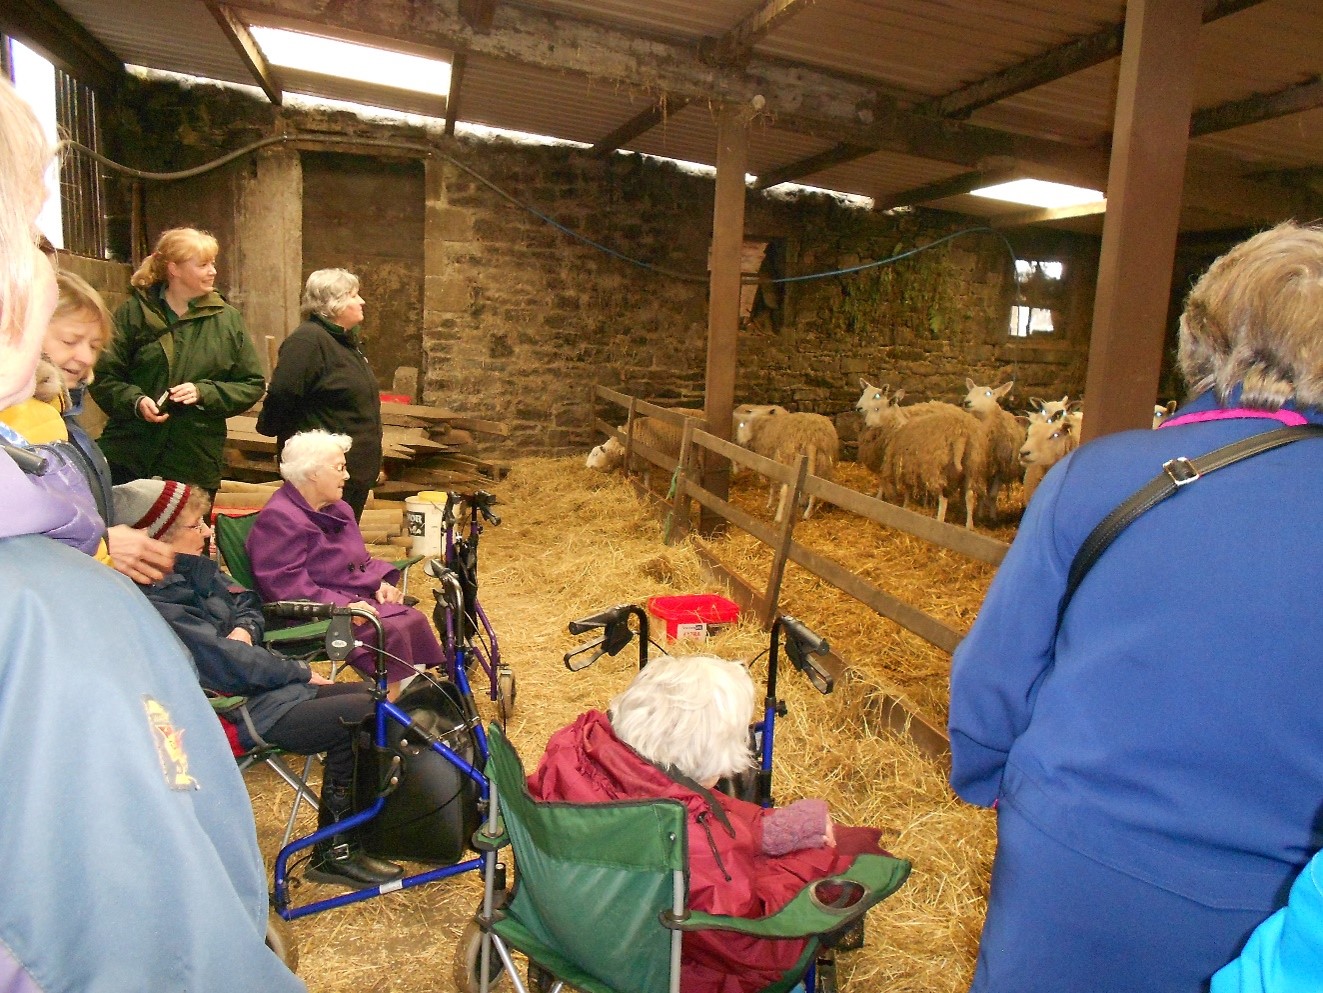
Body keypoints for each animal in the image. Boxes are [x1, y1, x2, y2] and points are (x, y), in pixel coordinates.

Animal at [968, 378, 1026, 523]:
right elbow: (982, 493)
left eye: (988, 393)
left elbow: (993, 494)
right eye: (970, 391)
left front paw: (993, 518)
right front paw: (980, 515)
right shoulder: (983, 466)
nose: (966, 402)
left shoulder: (1000, 467)